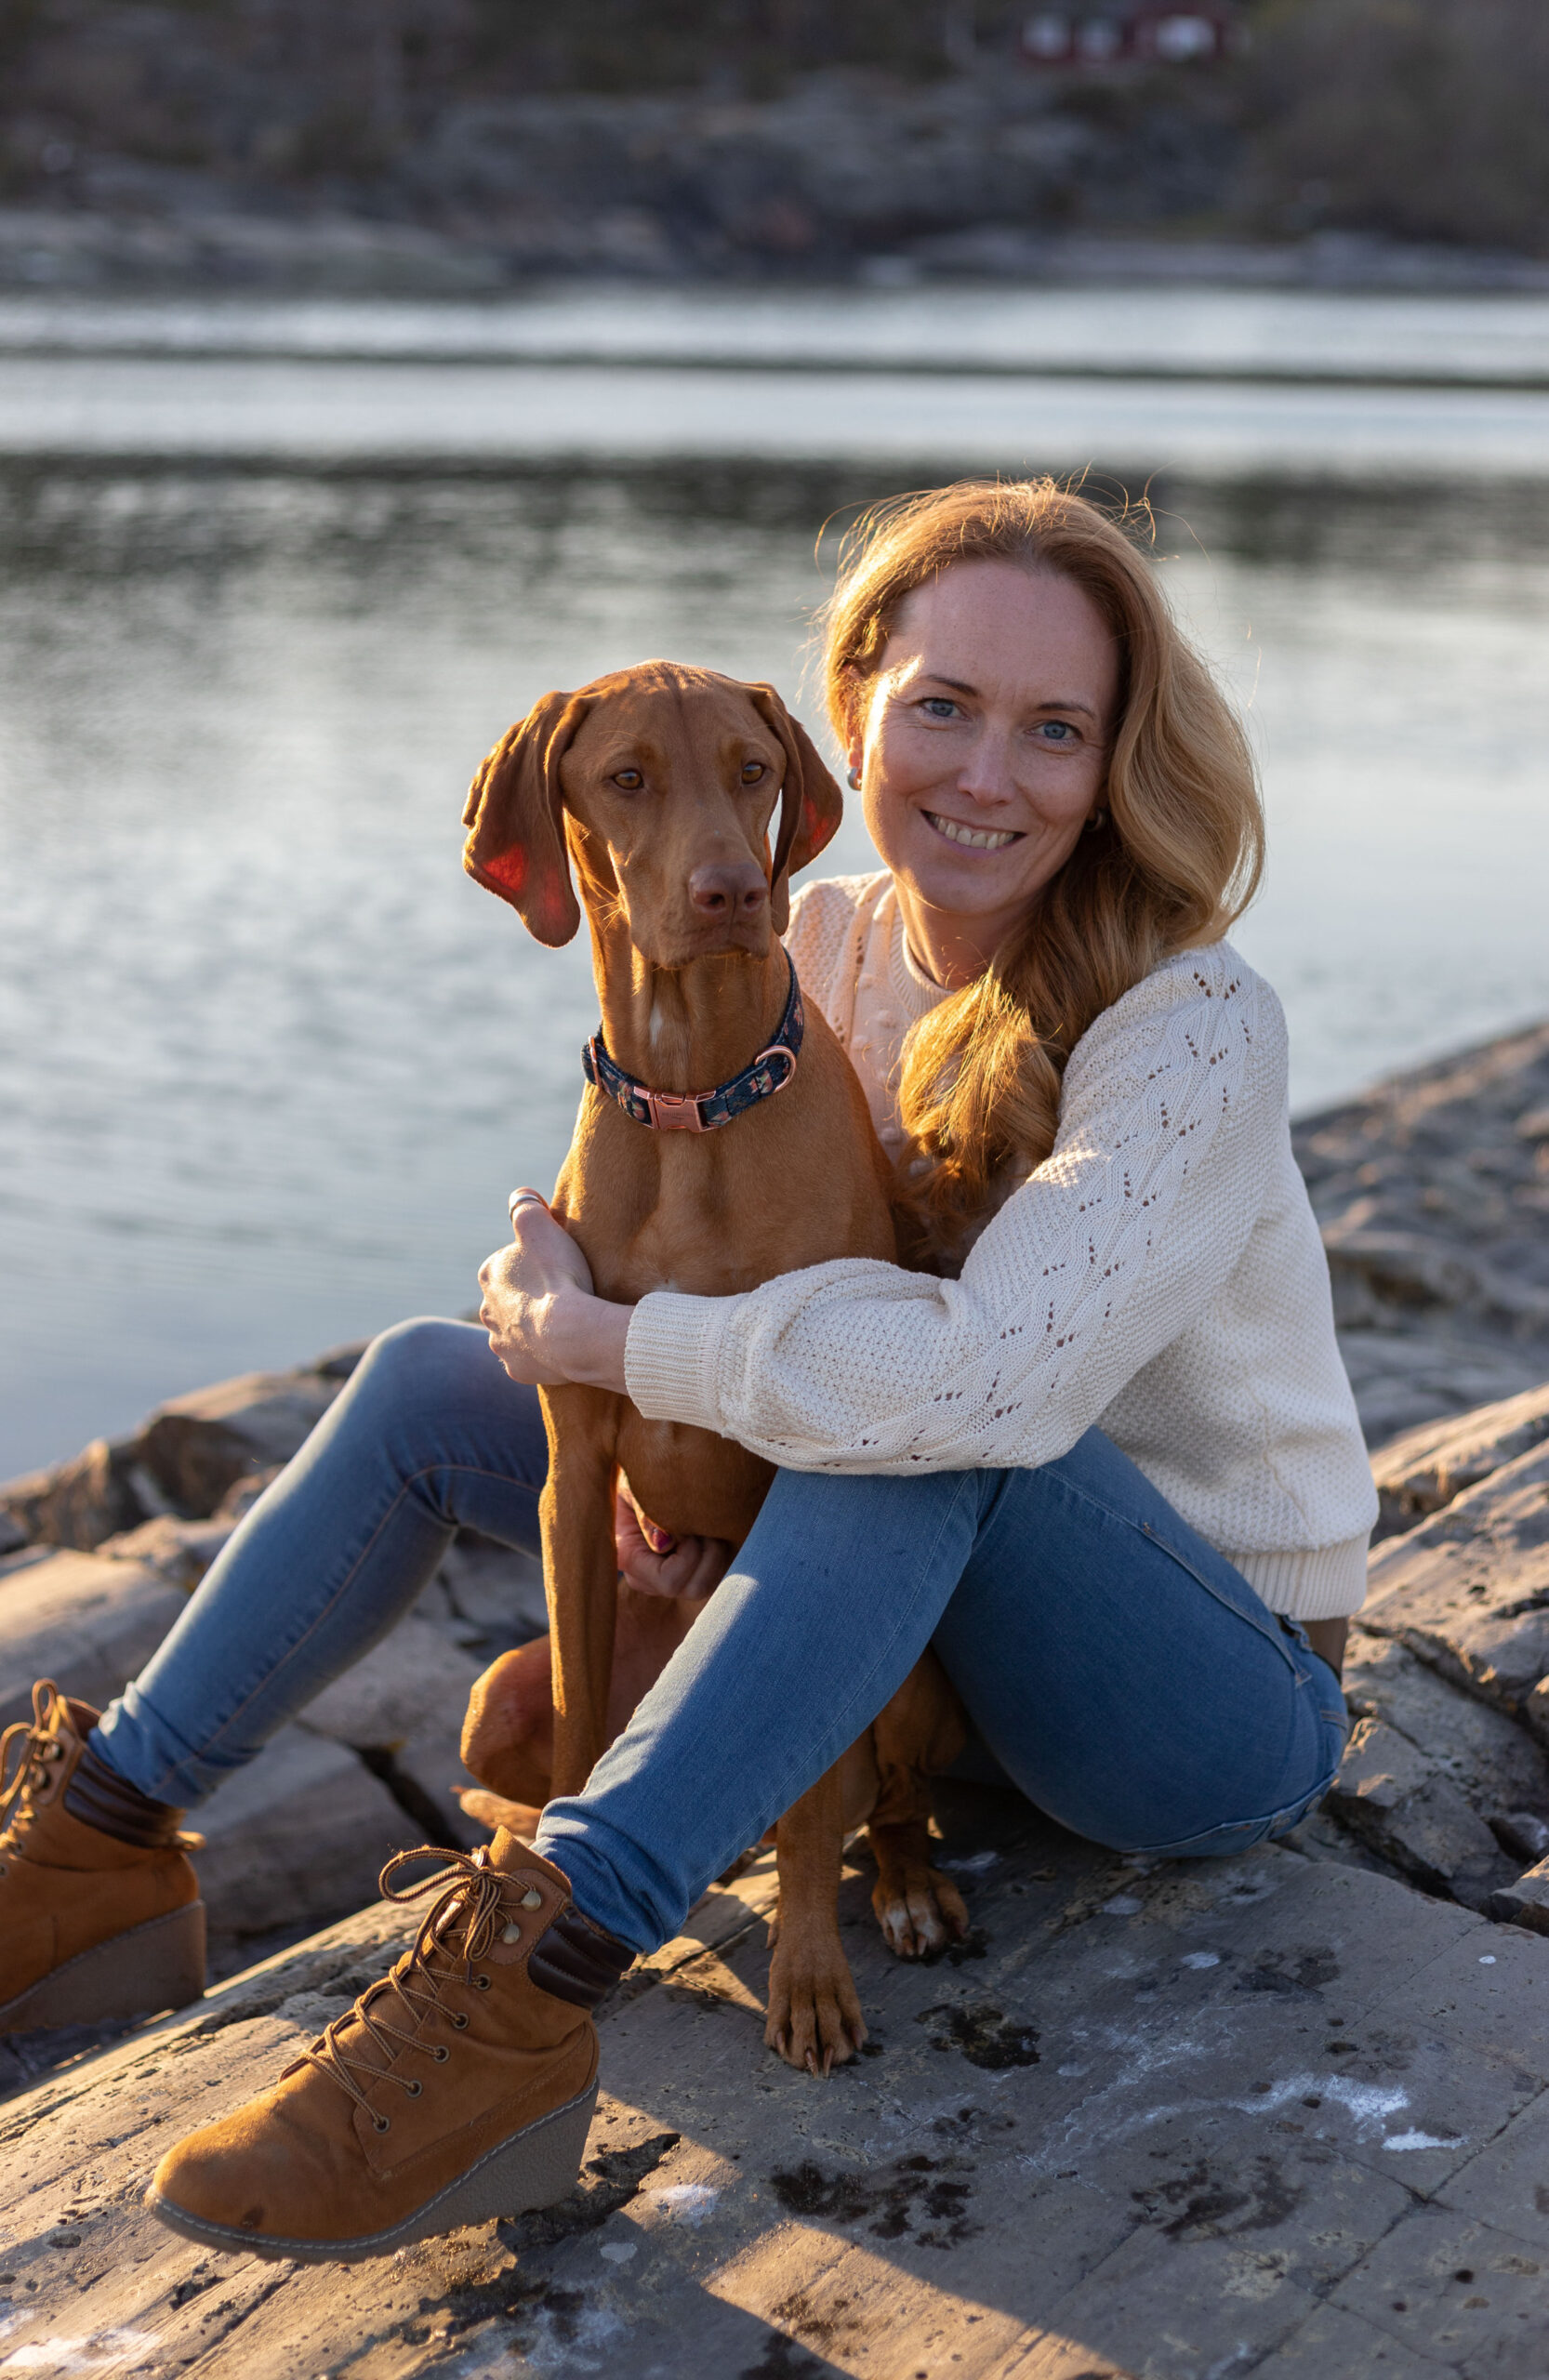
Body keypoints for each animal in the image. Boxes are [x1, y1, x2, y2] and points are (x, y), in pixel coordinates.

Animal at [461, 656, 960, 2066]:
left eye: (751, 769)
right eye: (625, 776)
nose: (733, 890)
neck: (693, 1099)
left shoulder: (812, 1459)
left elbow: (808, 1789)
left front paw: (807, 1974)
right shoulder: (573, 1485)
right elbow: (582, 1727)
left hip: (921, 1687)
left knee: (878, 1800)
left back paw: (901, 1887)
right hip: (489, 1698)